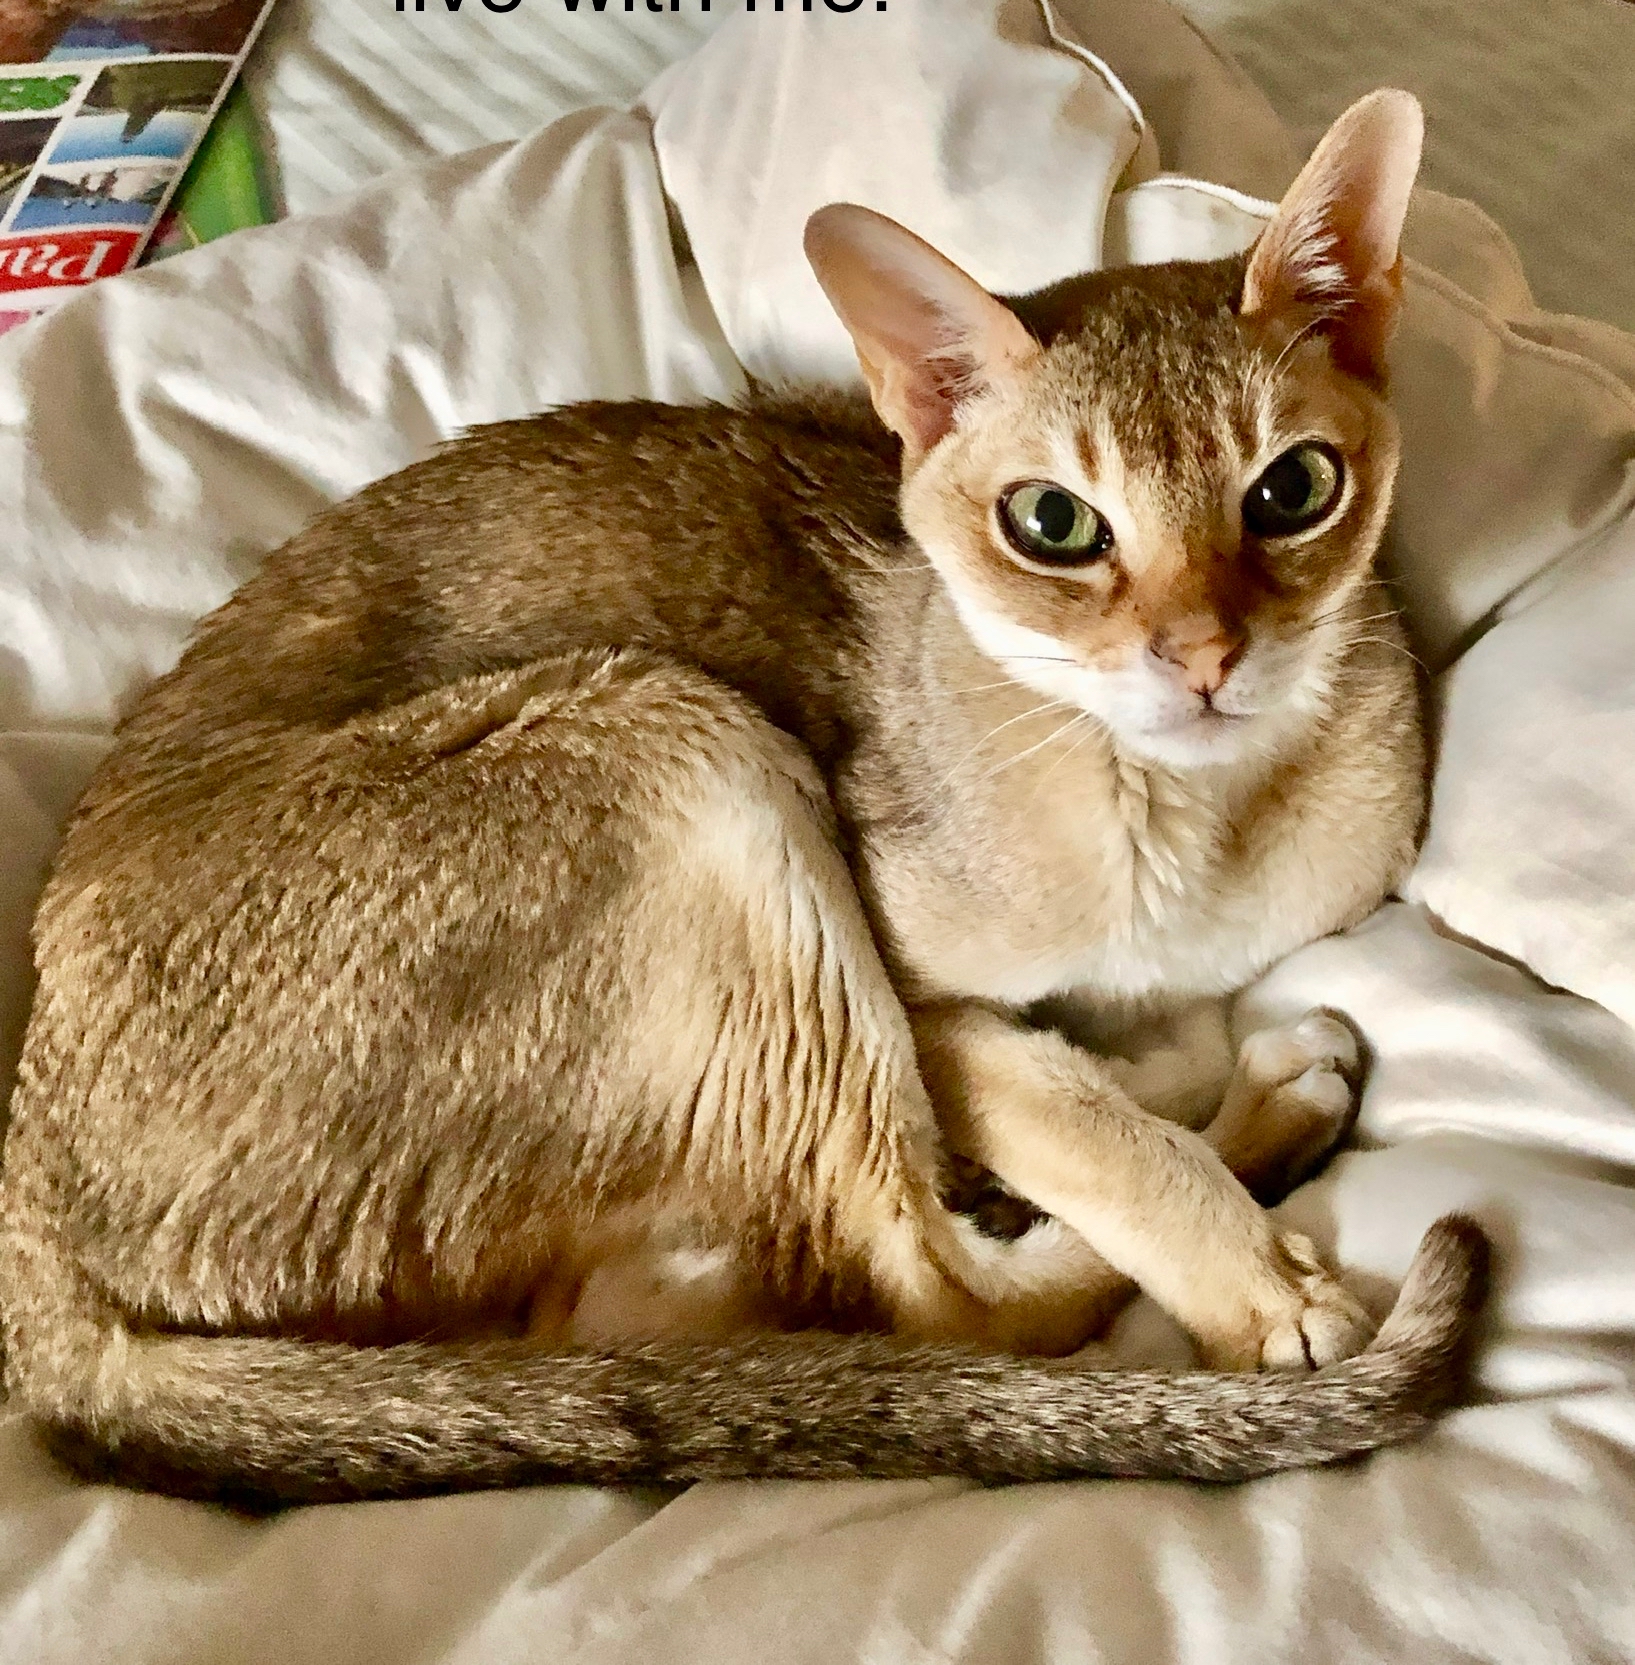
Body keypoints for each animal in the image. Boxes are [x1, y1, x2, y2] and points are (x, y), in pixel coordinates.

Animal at [0, 88, 1486, 1506]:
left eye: (1292, 489)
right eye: (1054, 524)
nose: (1203, 657)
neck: (1192, 825)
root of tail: (36, 1253)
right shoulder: (911, 991)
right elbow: (1070, 1127)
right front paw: (1260, 1286)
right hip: (678, 748)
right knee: (922, 1294)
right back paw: (1263, 1114)